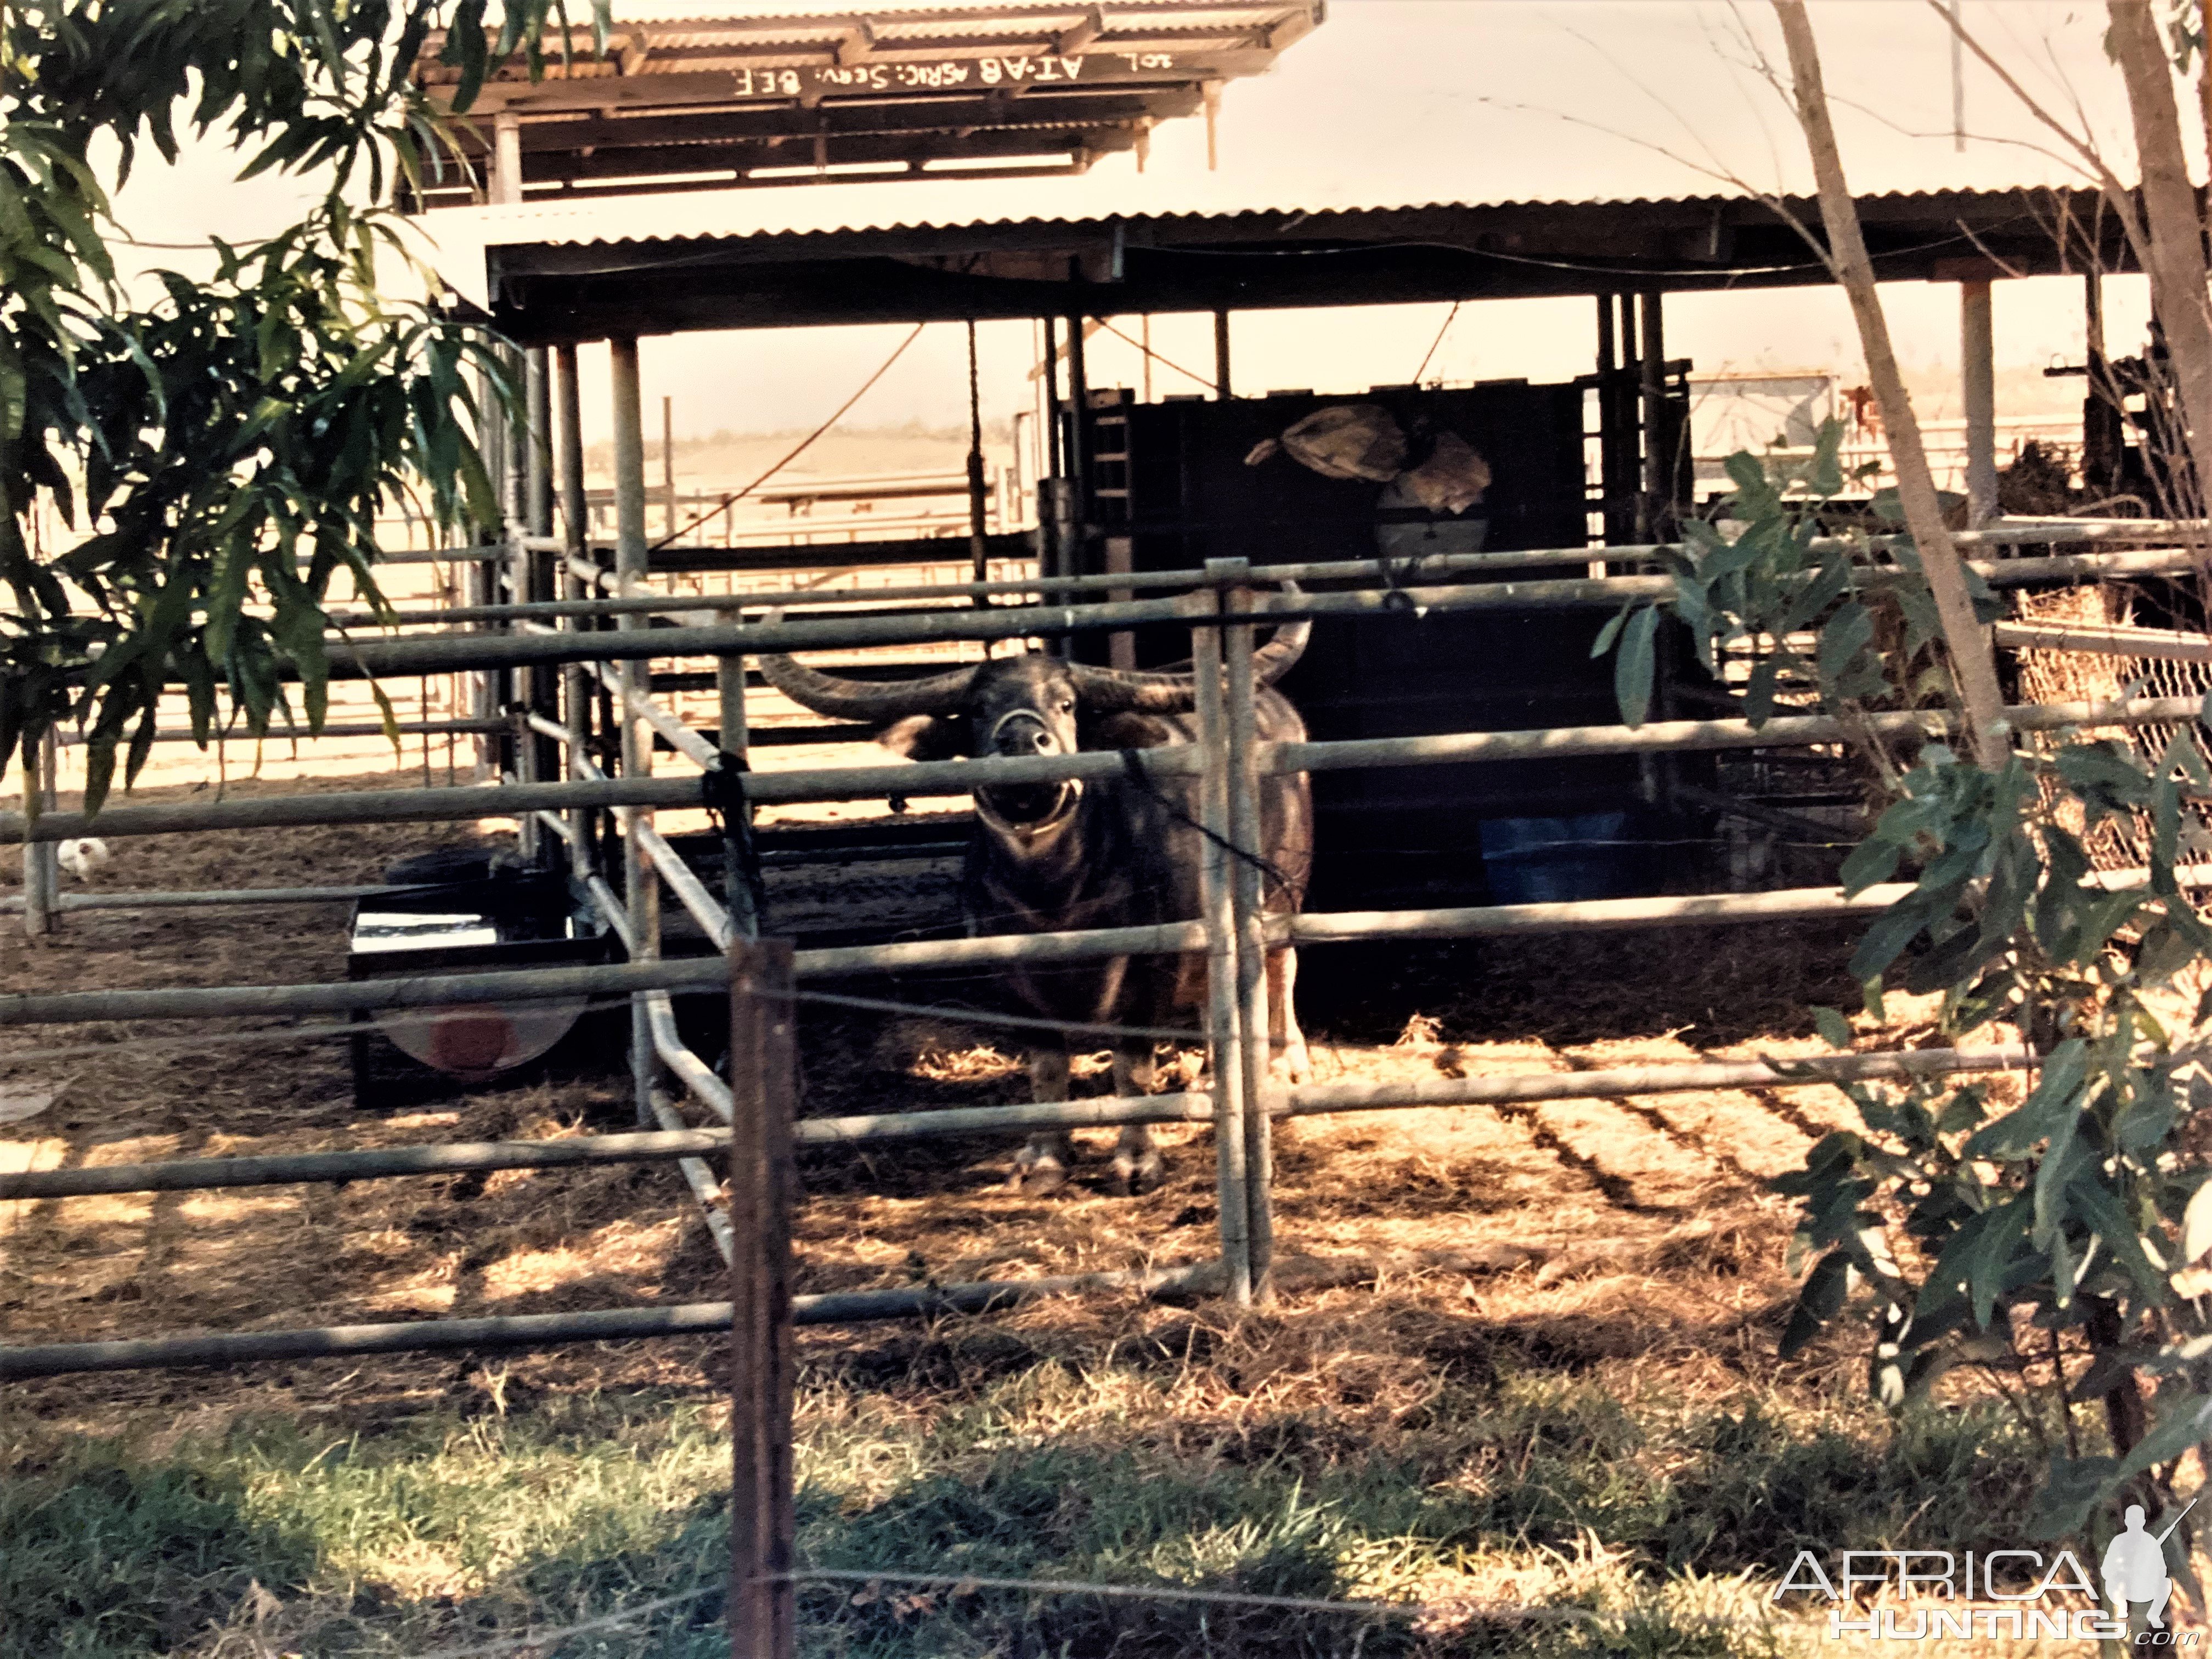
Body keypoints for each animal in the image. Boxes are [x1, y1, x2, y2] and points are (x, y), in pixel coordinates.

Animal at [761, 601, 1309, 1194]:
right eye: (979, 708)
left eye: (1066, 704)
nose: (1024, 741)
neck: (1055, 898)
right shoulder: (1010, 978)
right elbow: (1046, 1068)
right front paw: (1045, 1157)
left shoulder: (1150, 972)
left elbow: (1132, 1068)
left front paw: (1136, 1160)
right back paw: (1212, 1073)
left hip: (1284, 895)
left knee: (1281, 971)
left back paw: (1286, 1065)